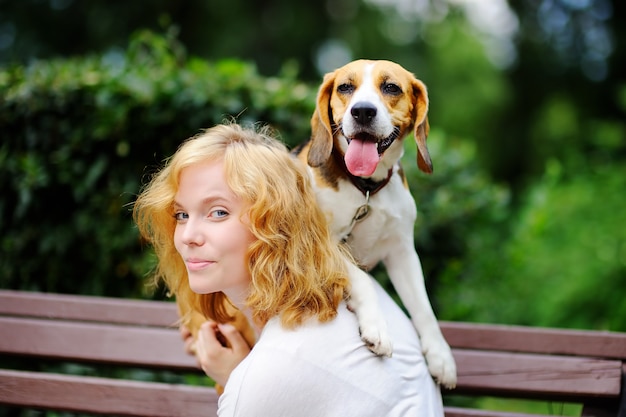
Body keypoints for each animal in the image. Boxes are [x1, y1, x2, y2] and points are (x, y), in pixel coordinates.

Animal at [292, 58, 454, 386]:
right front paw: (377, 327)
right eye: (345, 87)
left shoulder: (403, 253)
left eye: (391, 87)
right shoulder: (325, 245)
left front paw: (441, 356)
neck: (366, 188)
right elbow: (362, 278)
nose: (363, 111)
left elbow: (424, 308)